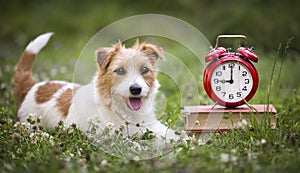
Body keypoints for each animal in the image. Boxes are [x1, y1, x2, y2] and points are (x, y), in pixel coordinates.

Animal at [13, 32, 178, 141]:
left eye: (144, 70)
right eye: (120, 70)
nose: (136, 89)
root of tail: (32, 87)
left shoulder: (152, 126)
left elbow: (169, 133)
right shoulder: (109, 136)